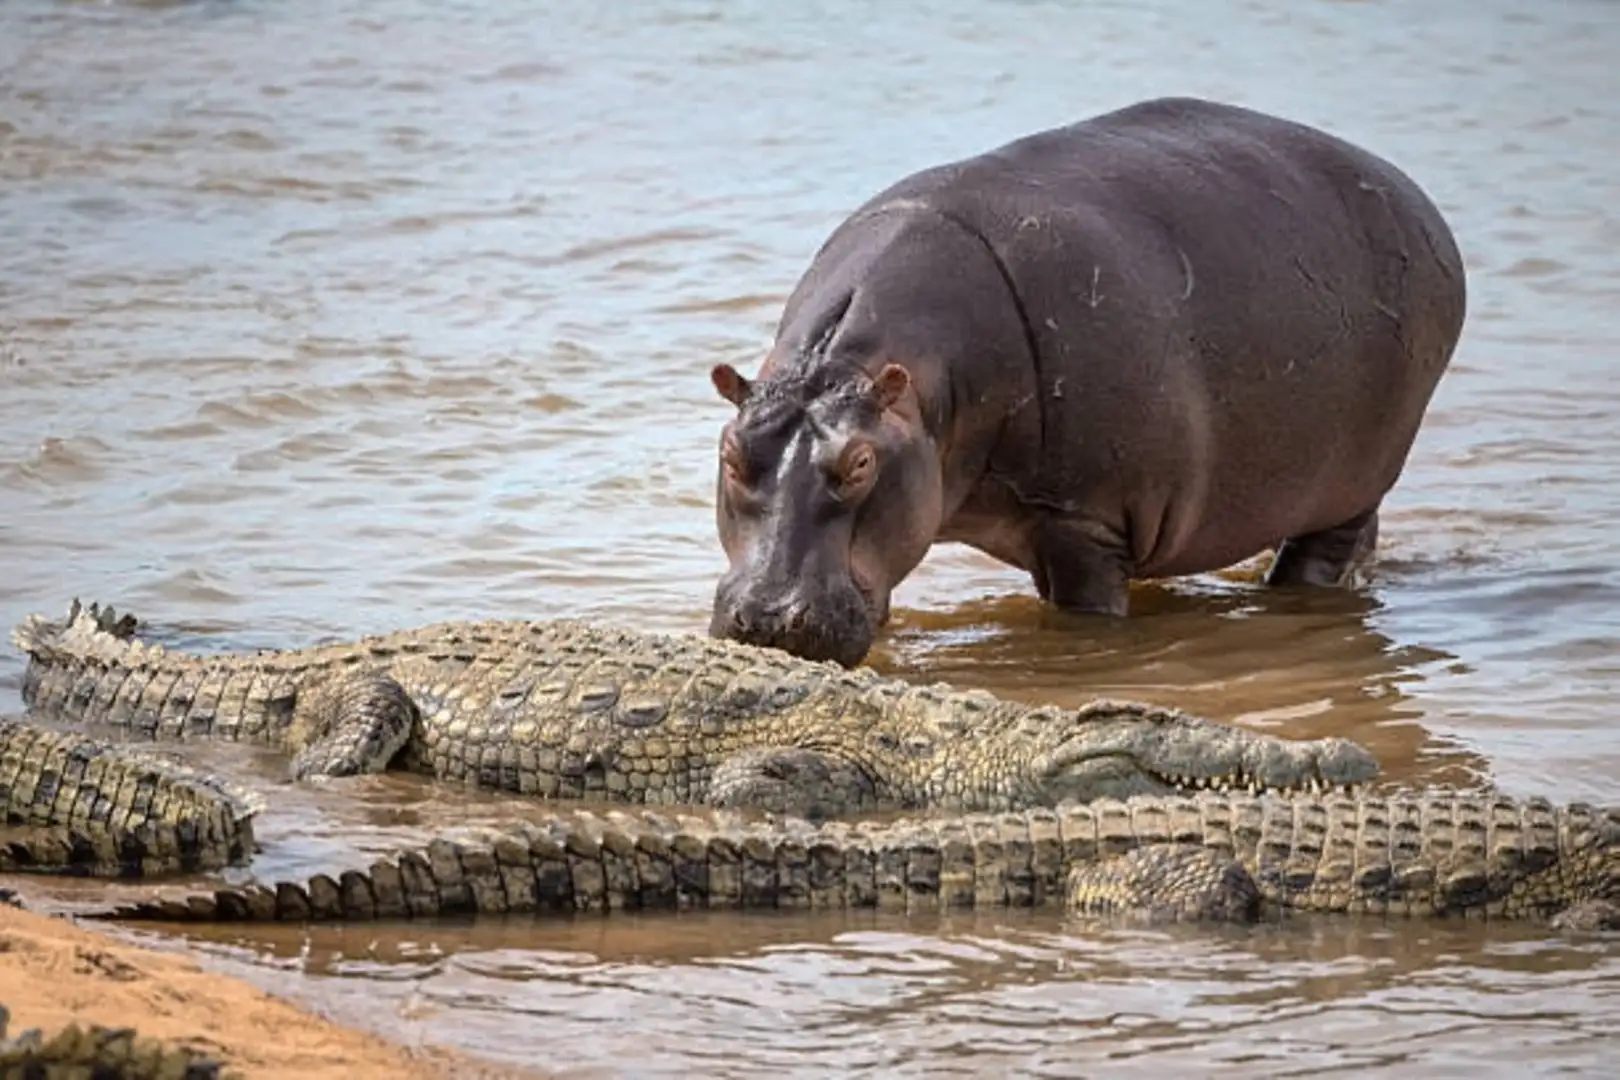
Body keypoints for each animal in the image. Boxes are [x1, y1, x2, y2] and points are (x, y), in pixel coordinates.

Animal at [708, 96, 1466, 667]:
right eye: (730, 453)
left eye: (861, 463)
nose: (767, 619)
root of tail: (1415, 196)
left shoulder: (1086, 521)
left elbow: (1084, 614)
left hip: (1357, 478)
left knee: (1321, 556)